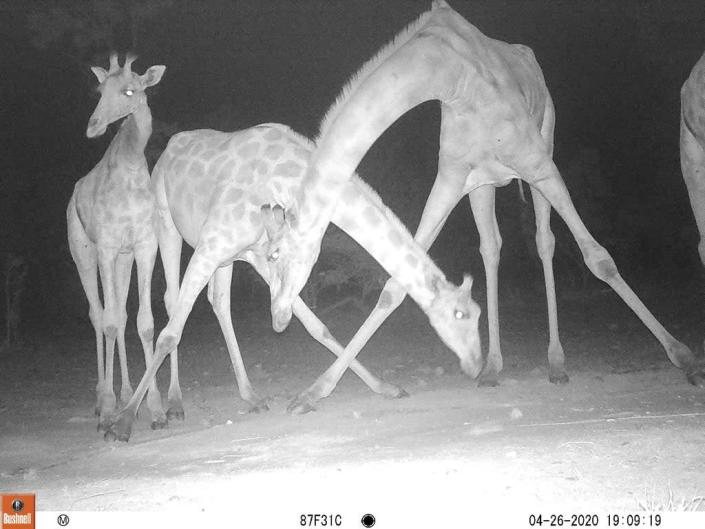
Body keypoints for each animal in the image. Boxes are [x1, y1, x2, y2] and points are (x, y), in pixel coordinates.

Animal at [66, 53, 170, 432]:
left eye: (129, 90)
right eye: (99, 90)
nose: (93, 125)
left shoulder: (144, 246)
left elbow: (144, 323)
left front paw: (154, 410)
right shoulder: (108, 247)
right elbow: (109, 321)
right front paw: (111, 413)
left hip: (123, 259)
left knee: (121, 315)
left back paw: (127, 395)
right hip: (83, 253)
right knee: (99, 315)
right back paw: (102, 401)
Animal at [102, 121, 482, 440]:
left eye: (477, 315)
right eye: (459, 315)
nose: (476, 364)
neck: (288, 177)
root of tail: (170, 148)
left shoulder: (262, 255)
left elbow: (317, 326)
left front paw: (383, 387)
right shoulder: (224, 249)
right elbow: (171, 333)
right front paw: (122, 422)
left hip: (228, 258)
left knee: (218, 301)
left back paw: (251, 396)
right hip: (166, 226)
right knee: (169, 301)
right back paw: (165, 408)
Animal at [266, 0, 704, 412]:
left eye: (276, 254)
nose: (279, 318)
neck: (451, 77)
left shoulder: (540, 165)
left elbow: (599, 259)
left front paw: (685, 358)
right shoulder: (451, 179)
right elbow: (393, 288)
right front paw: (313, 392)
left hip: (545, 147)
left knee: (545, 241)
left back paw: (557, 363)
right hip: (483, 186)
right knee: (492, 247)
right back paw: (493, 367)